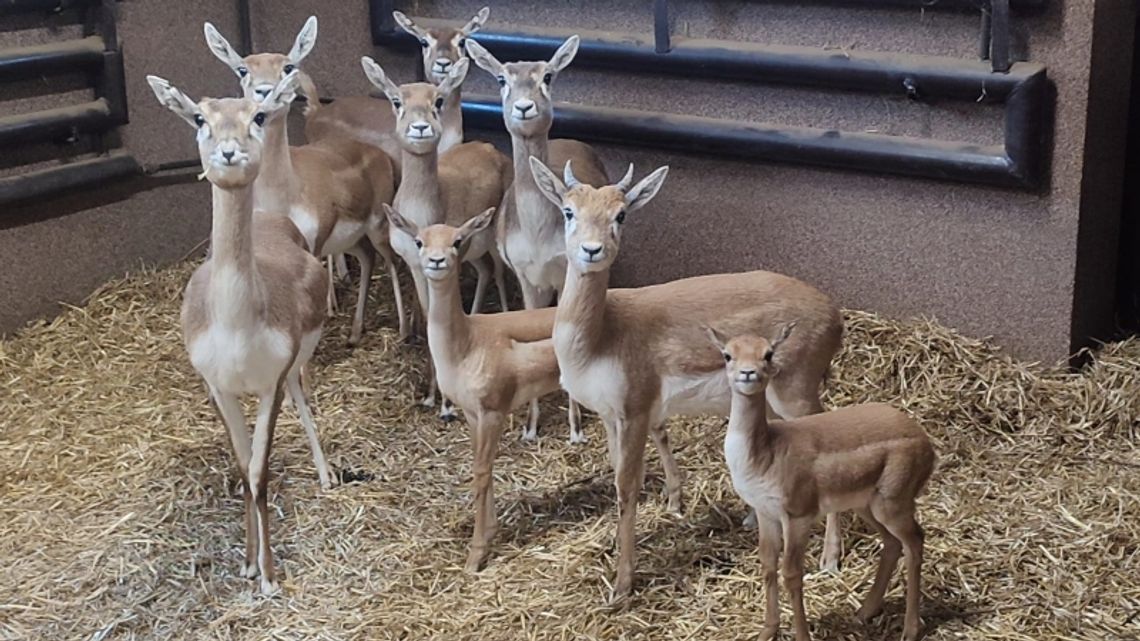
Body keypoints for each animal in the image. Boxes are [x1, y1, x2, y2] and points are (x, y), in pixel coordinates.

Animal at [147, 72, 332, 593]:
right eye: (200, 117)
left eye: (258, 115)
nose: (229, 153)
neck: (235, 326)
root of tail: (271, 218)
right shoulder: (218, 388)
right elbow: (242, 466)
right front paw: (248, 564)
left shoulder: (270, 383)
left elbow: (259, 472)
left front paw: (268, 578)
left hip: (298, 363)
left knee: (303, 398)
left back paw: (327, 475)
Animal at [387, 204, 574, 568]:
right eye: (419, 241)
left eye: (458, 241)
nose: (437, 261)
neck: (466, 343)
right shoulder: (473, 415)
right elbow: (480, 467)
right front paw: (488, 535)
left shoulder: (492, 412)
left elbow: (482, 472)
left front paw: (476, 555)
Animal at [711, 326, 934, 634]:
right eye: (727, 354)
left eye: (768, 353)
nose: (748, 372)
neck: (766, 453)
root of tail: (928, 446)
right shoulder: (766, 512)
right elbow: (767, 565)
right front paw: (767, 631)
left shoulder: (798, 515)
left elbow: (792, 573)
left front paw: (801, 634)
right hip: (866, 505)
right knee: (892, 543)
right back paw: (864, 612)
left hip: (894, 503)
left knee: (915, 541)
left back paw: (910, 629)